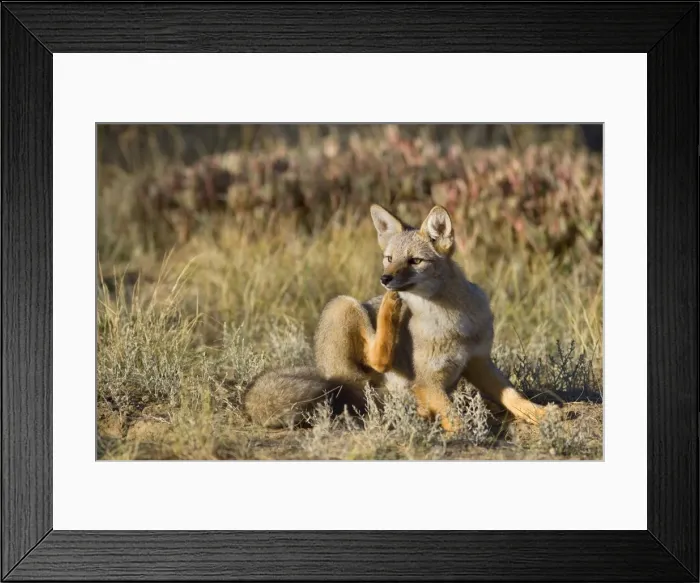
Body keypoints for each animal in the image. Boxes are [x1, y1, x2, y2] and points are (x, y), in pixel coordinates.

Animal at [243, 203, 547, 432]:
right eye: (389, 258)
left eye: (415, 261)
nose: (385, 279)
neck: (452, 323)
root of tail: (322, 369)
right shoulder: (427, 380)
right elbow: (453, 414)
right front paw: (465, 431)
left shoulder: (478, 362)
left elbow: (513, 396)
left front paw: (542, 414)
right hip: (344, 305)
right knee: (376, 360)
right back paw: (390, 309)